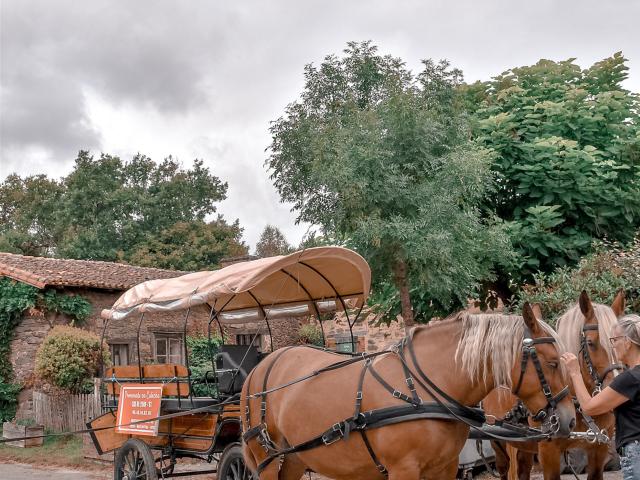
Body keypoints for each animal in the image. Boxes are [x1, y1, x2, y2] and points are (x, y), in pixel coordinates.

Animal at [239, 306, 576, 478]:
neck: (421, 392)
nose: (570, 420)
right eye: (552, 362)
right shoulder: (403, 469)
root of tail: (259, 368)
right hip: (267, 460)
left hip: (294, 459)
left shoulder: (444, 468)